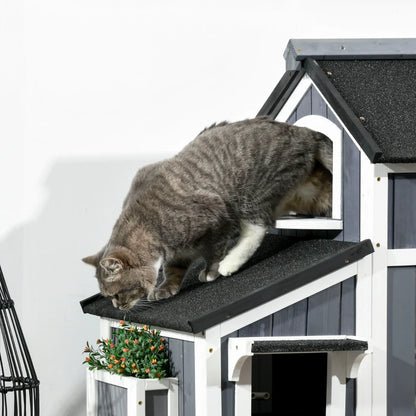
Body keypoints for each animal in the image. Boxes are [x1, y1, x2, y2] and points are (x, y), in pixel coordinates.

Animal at [83, 117, 334, 308]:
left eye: (116, 294)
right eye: (108, 296)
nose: (118, 306)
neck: (149, 222)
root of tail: (305, 132)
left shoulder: (217, 217)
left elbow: (214, 251)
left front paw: (211, 271)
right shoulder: (177, 253)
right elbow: (172, 270)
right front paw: (165, 288)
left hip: (252, 193)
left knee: (258, 227)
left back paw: (231, 263)